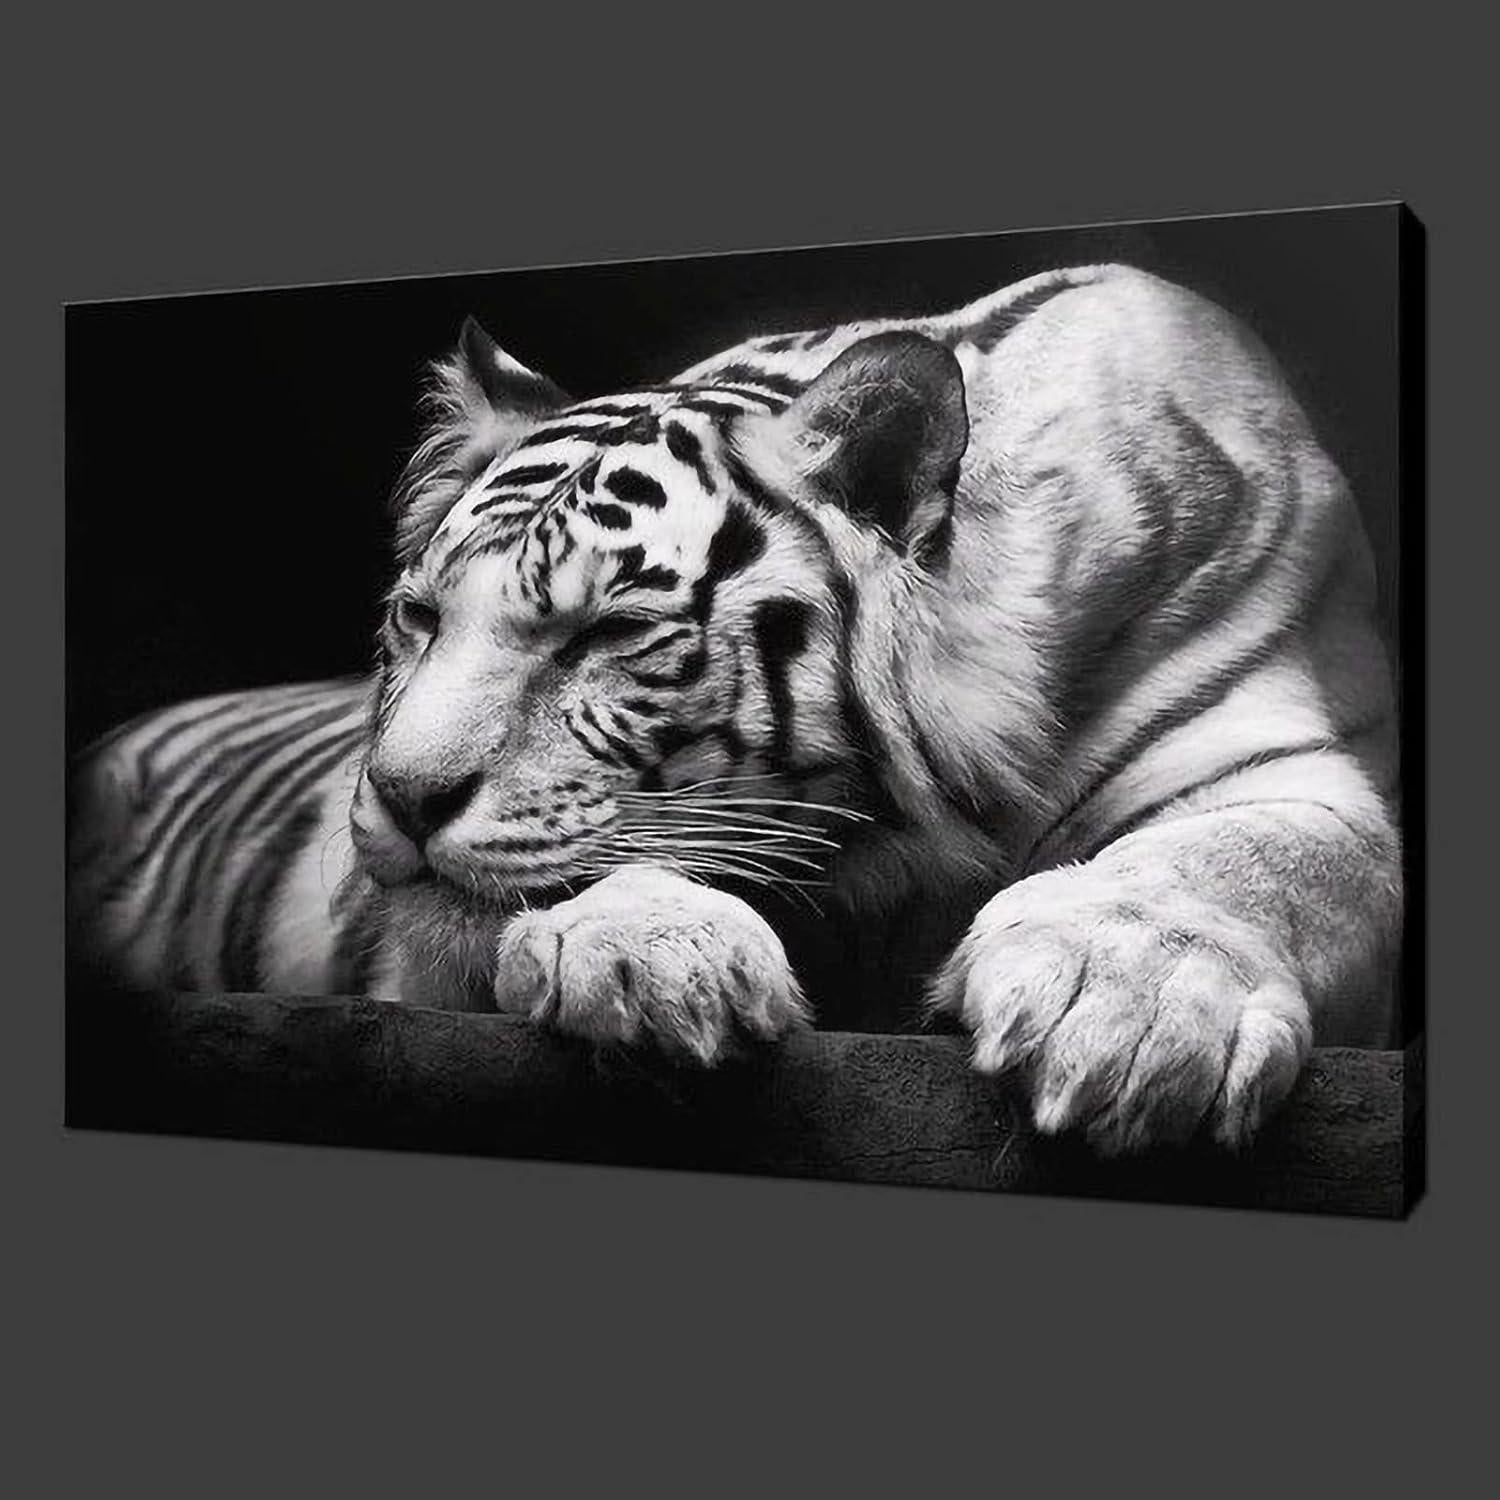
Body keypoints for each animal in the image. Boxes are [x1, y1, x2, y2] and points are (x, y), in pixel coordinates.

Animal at [68, 262, 1402, 1155]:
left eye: (609, 634)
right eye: (420, 620)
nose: (398, 798)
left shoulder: (1284, 758)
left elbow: (1257, 861)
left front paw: (1126, 1009)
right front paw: (655, 957)